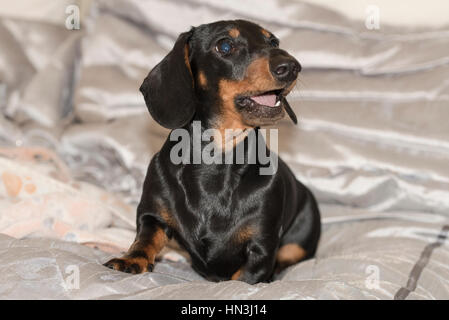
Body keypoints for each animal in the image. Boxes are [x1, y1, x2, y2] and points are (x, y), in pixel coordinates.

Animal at [103, 20, 320, 284]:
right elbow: (145, 238)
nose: (291, 66)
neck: (216, 163)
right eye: (224, 46)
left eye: (273, 41)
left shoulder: (261, 247)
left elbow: (244, 278)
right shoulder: (152, 216)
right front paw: (131, 259)